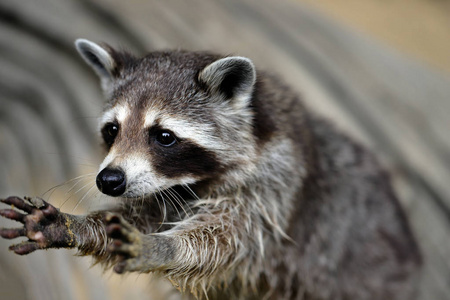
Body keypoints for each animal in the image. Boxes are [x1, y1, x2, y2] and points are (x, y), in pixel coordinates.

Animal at [0, 39, 422, 300]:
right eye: (112, 130)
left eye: (164, 136)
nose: (108, 181)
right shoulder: (160, 187)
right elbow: (134, 218)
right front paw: (75, 226)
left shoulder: (276, 185)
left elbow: (225, 242)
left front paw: (164, 247)